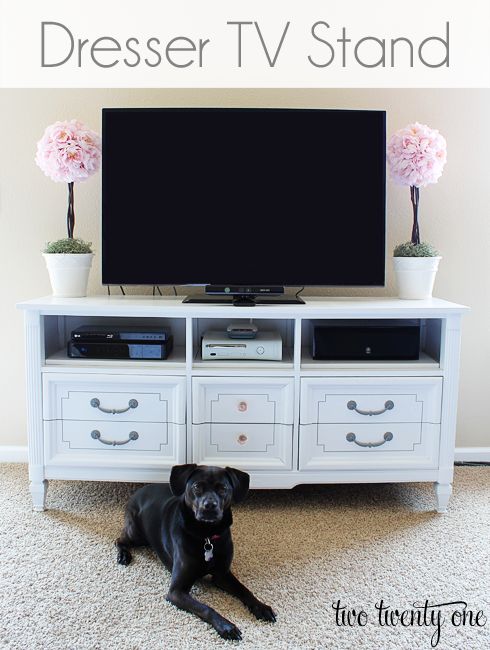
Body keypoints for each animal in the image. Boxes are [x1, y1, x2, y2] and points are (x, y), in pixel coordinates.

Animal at [115, 460, 276, 636]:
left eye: (223, 488)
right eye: (197, 486)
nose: (210, 506)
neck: (206, 535)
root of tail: (139, 491)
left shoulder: (222, 575)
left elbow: (244, 590)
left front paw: (261, 607)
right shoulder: (176, 591)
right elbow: (205, 608)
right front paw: (226, 626)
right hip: (137, 534)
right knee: (119, 539)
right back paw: (123, 556)